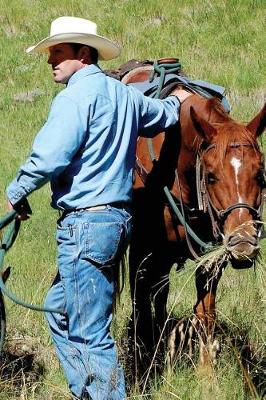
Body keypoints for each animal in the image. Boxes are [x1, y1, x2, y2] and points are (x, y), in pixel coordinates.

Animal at [121, 65, 264, 378]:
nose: (243, 244)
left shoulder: (211, 259)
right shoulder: (141, 252)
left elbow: (205, 313)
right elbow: (139, 305)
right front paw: (142, 368)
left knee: (161, 294)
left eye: (261, 174)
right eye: (210, 176)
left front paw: (206, 374)